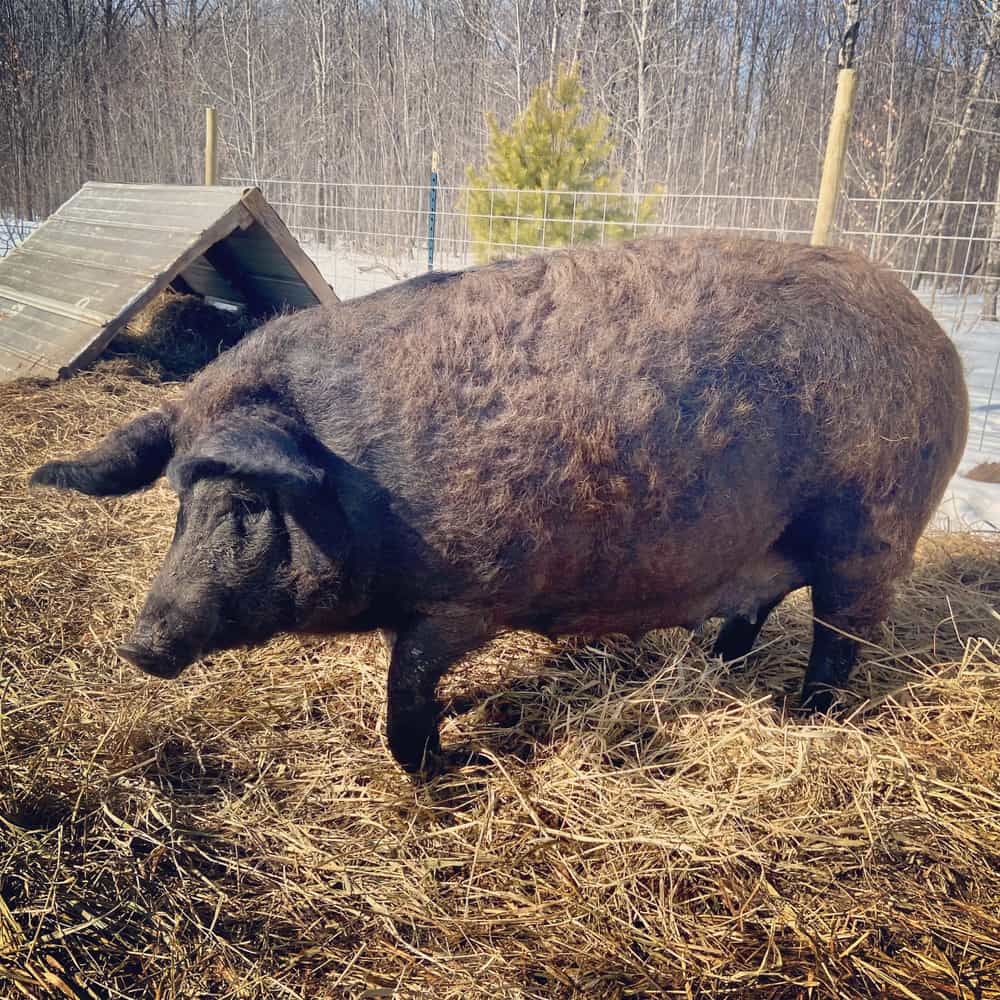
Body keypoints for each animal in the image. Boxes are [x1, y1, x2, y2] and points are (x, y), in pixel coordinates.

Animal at [31, 236, 969, 773]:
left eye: (248, 505)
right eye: (177, 504)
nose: (140, 643)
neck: (361, 488)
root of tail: (938, 339)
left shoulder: (469, 593)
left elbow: (407, 680)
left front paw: (446, 769)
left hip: (871, 532)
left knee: (841, 637)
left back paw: (801, 716)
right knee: (760, 604)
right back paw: (720, 665)